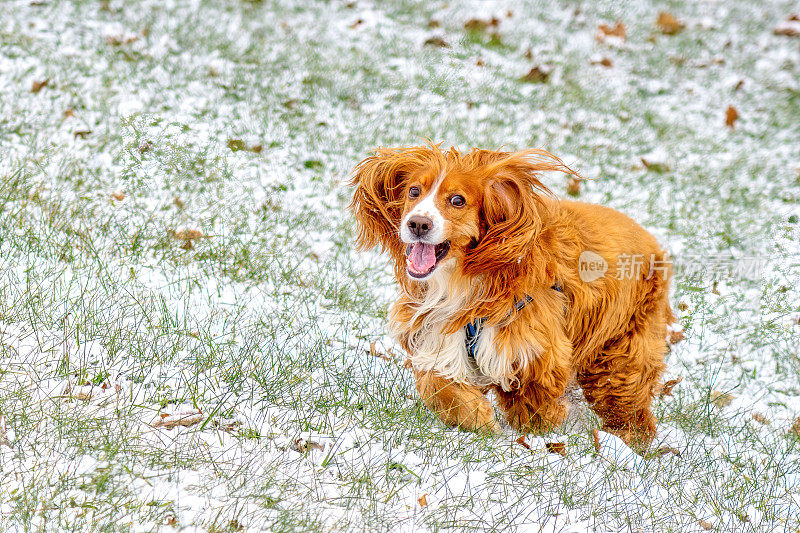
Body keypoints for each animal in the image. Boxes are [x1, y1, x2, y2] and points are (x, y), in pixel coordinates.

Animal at [346, 143, 672, 446]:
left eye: (457, 200)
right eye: (414, 191)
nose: (418, 224)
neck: (461, 282)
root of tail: (652, 241)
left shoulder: (530, 345)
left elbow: (533, 401)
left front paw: (540, 429)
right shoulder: (435, 332)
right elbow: (436, 384)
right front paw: (476, 418)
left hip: (621, 351)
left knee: (628, 400)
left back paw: (627, 440)